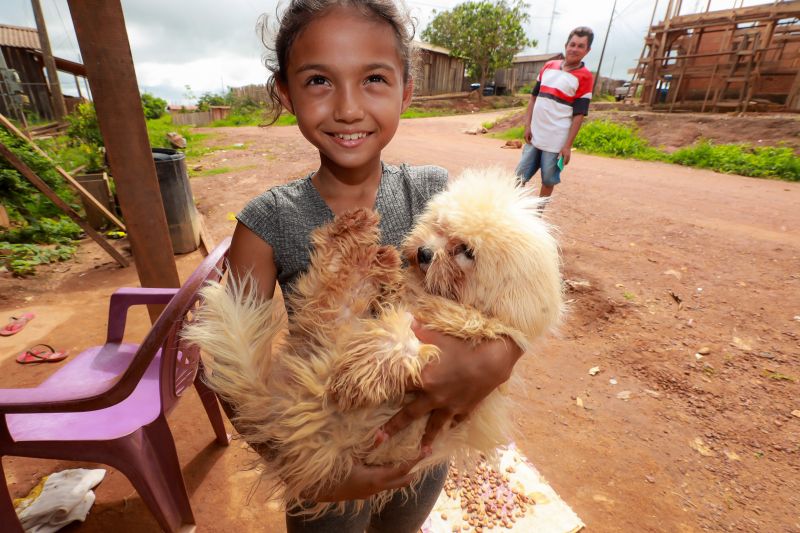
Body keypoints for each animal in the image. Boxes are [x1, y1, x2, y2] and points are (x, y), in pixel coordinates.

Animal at [184, 166, 564, 516]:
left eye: (466, 251)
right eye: (439, 227)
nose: (424, 253)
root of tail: (286, 406)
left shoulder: (454, 334)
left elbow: (402, 340)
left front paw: (354, 376)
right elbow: (397, 311)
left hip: (335, 331)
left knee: (332, 286)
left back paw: (366, 252)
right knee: (330, 275)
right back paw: (362, 235)